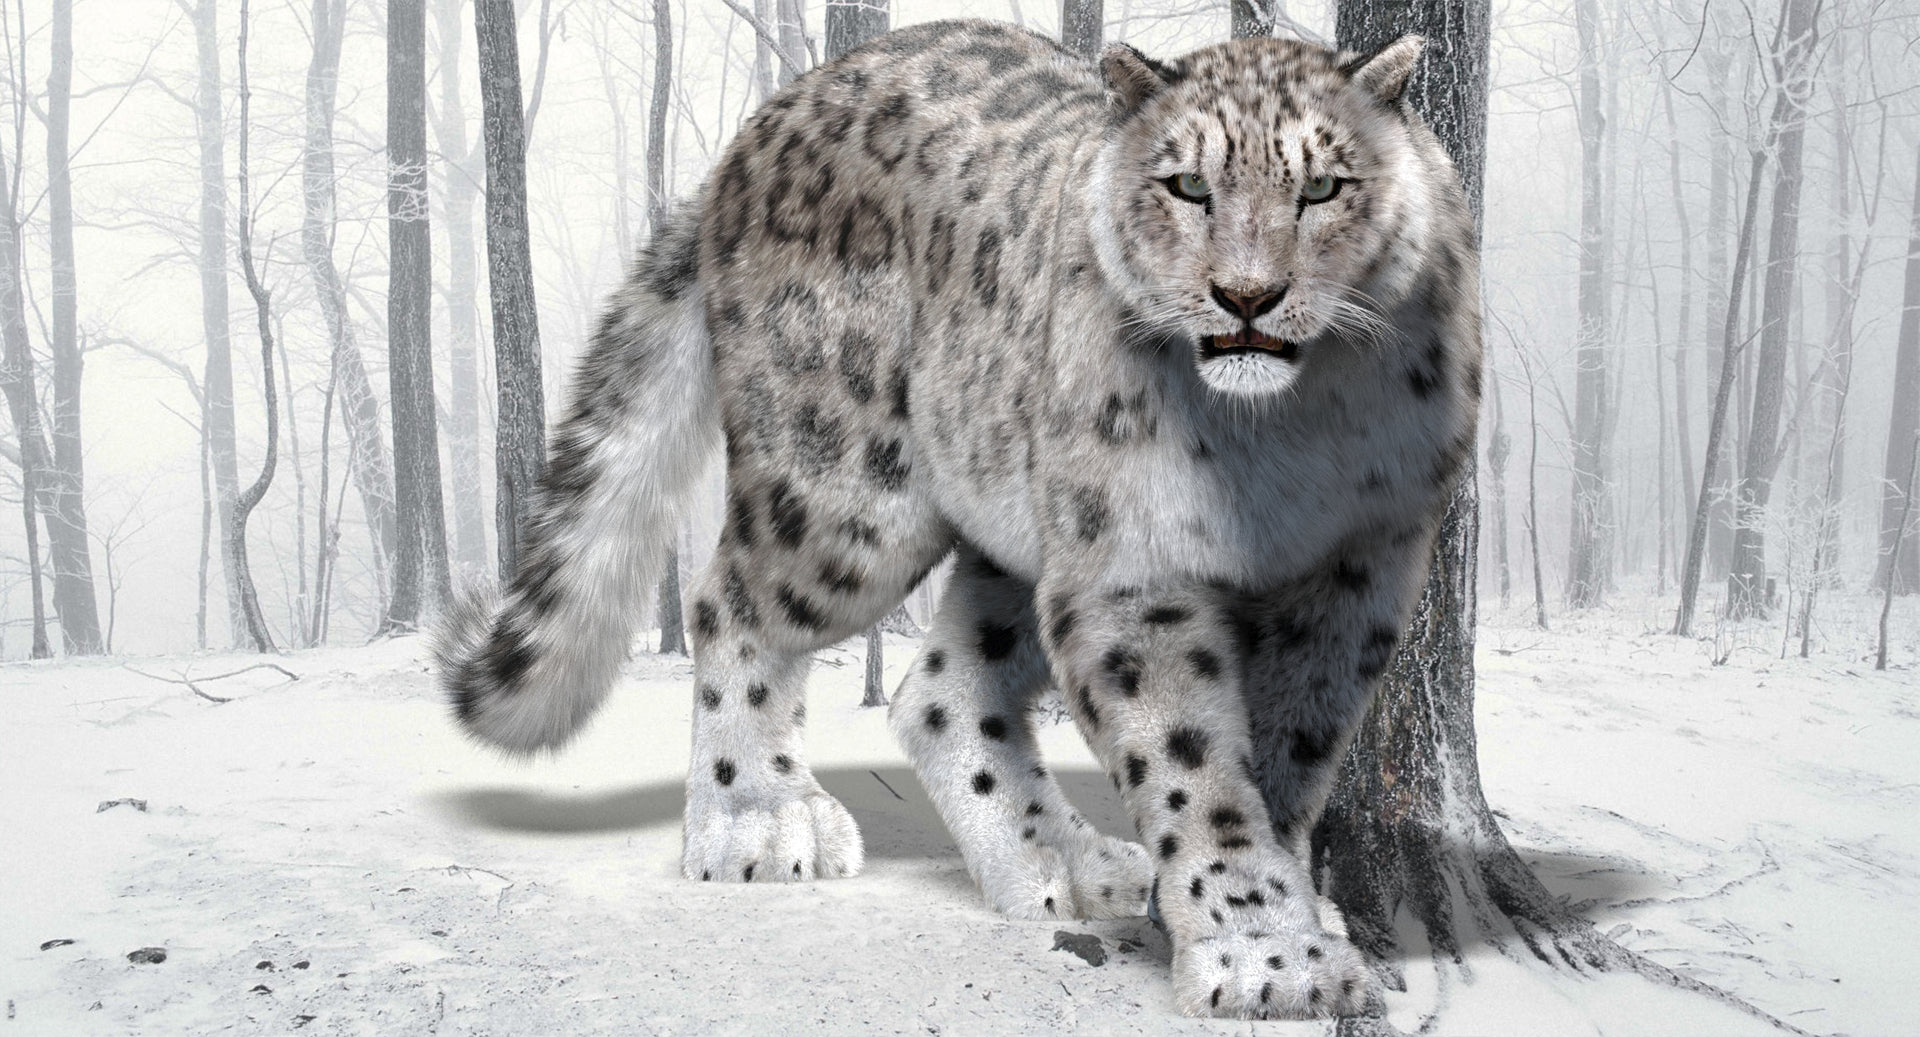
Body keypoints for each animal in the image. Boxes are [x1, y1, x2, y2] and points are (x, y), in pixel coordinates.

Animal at [434, 19, 1480, 1021]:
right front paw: (1265, 954)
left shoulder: (1356, 569)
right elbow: (1192, 763)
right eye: (1187, 185)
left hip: (1020, 519)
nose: (1249, 297)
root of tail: (757, 129)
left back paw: (1066, 865)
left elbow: (1290, 752)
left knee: (938, 689)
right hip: (850, 496)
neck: (1286, 434)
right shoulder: (1133, 564)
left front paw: (1273, 909)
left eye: (1323, 188)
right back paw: (759, 821)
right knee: (730, 598)